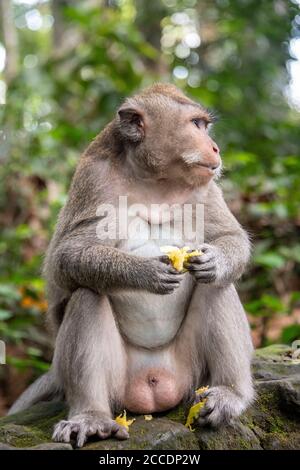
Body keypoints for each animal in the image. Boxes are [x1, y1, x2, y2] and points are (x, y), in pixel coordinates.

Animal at [8, 84, 253, 448]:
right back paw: (91, 417)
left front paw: (215, 260)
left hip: (190, 373)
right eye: (195, 124)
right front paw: (144, 272)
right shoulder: (93, 181)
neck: (155, 180)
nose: (214, 147)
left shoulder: (205, 187)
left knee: (215, 286)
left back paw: (230, 394)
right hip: (118, 382)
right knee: (87, 294)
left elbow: (229, 236)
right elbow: (67, 256)